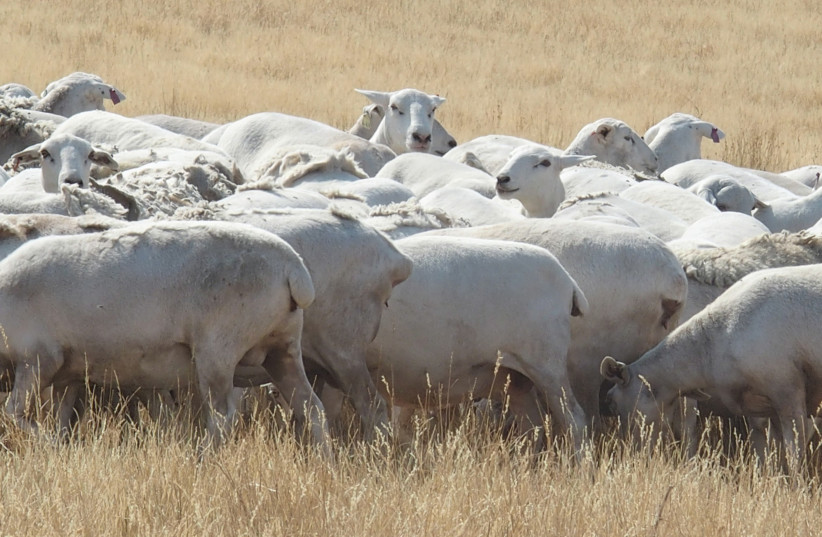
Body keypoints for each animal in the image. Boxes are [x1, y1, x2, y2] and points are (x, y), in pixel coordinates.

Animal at [0, 220, 327, 451]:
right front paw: (60, 448)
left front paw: (49, 444)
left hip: (217, 351)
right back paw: (325, 464)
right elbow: (62, 419)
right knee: (311, 409)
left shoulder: (38, 359)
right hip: (282, 349)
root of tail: (293, 267)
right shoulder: (69, 374)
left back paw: (201, 459)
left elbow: (14, 413)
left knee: (222, 417)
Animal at [601, 264, 822, 465]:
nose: (630, 456)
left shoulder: (787, 391)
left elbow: (794, 453)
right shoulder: (768, 405)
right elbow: (775, 453)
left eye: (612, 402)